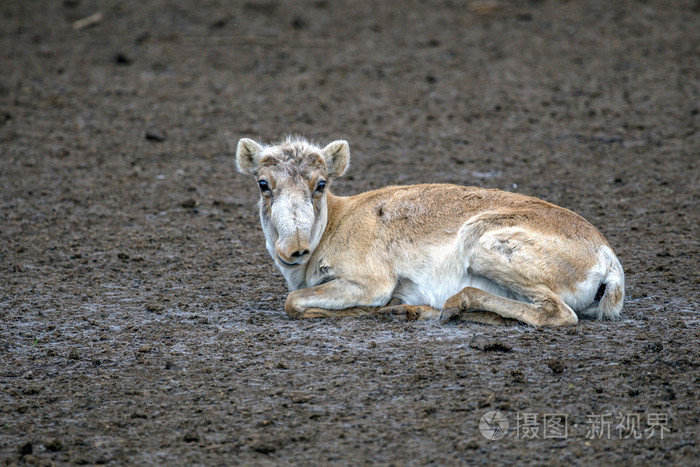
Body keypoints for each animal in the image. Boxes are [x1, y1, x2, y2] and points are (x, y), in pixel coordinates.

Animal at [235, 135, 624, 328]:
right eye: (263, 183)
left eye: (320, 184)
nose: (295, 248)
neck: (337, 223)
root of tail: (609, 263)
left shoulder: (371, 283)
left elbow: (293, 302)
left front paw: (383, 309)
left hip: (480, 243)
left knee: (558, 314)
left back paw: (443, 306)